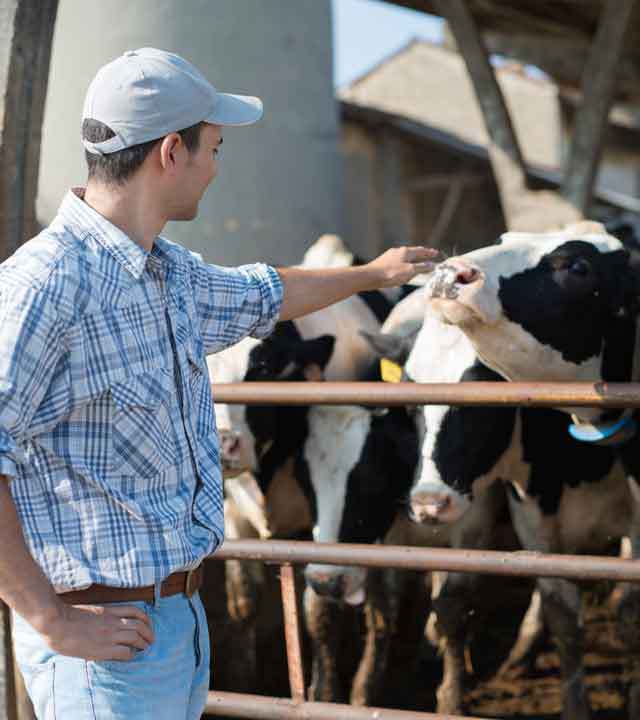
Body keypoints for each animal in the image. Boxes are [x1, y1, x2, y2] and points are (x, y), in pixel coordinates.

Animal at [410, 221, 640, 720]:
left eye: (578, 266)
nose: (450, 273)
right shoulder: (530, 506)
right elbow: (560, 611)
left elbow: (629, 612)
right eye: (410, 399)